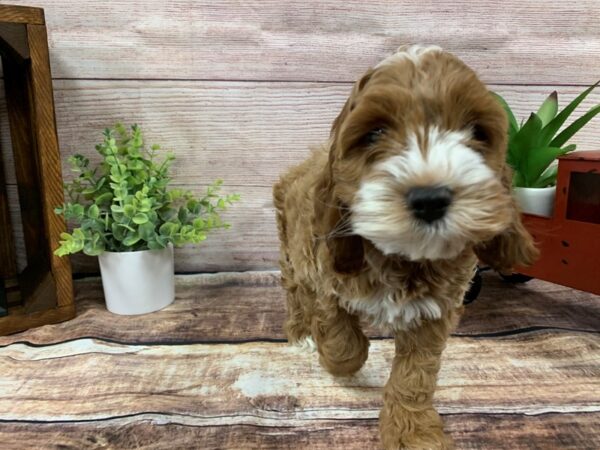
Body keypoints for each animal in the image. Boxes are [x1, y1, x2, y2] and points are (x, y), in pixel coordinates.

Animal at [274, 44, 536, 448]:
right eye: (374, 134)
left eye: (477, 132)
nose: (430, 199)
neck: (403, 256)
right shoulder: (326, 278)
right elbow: (341, 338)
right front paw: (336, 359)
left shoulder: (434, 312)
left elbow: (415, 375)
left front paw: (413, 432)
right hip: (291, 252)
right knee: (295, 292)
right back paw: (301, 333)